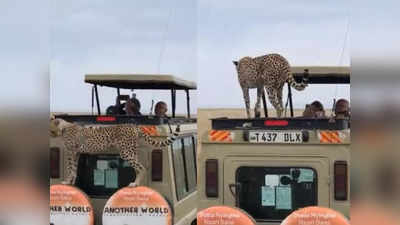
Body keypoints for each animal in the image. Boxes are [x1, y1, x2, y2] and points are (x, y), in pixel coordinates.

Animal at [50, 117, 180, 187]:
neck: (63, 127)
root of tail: (133, 125)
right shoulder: (76, 153)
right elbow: (74, 169)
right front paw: (71, 182)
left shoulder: (71, 152)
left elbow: (70, 168)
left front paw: (67, 182)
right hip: (132, 151)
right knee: (138, 167)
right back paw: (135, 183)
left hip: (125, 152)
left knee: (141, 167)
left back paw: (135, 184)